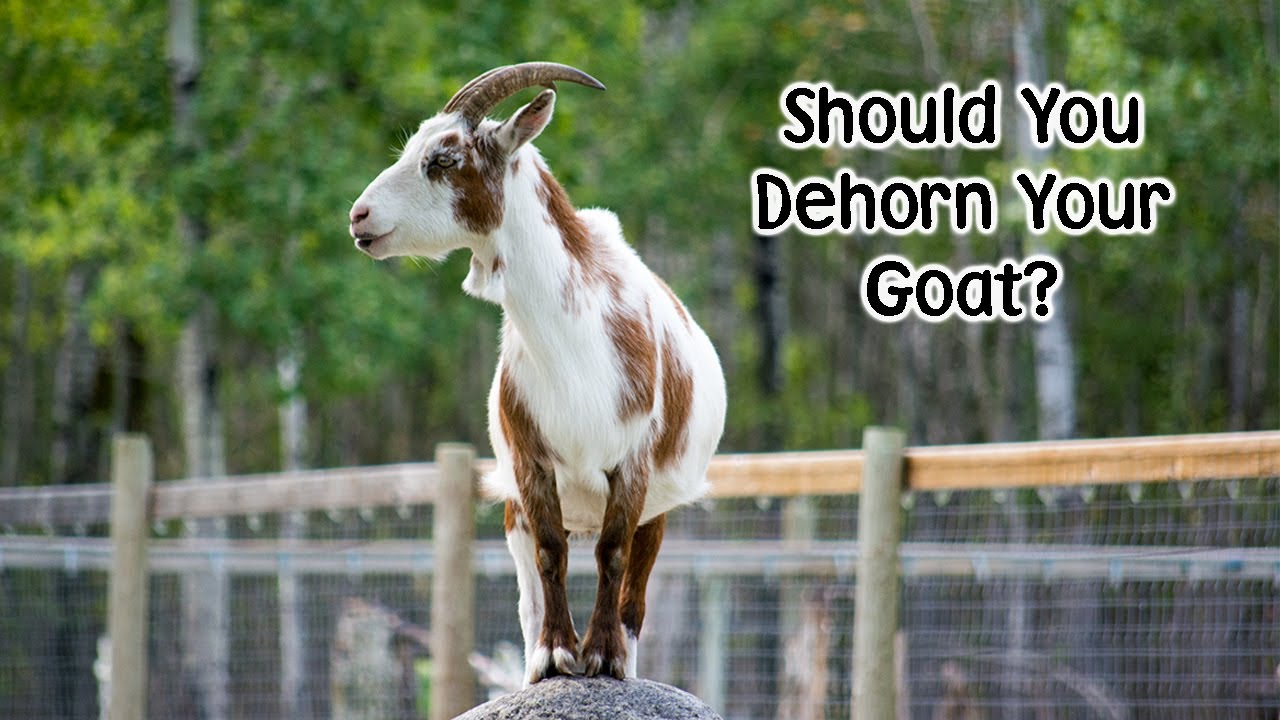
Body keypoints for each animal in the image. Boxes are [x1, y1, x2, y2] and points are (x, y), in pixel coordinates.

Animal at [348, 63, 726, 685]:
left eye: (443, 159)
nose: (360, 216)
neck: (575, 346)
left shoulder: (633, 462)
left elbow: (613, 553)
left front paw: (603, 657)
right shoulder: (530, 462)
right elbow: (552, 553)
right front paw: (555, 654)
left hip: (660, 505)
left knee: (635, 588)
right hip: (514, 509)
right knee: (531, 585)